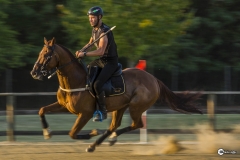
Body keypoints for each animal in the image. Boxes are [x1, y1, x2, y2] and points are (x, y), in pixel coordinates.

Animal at [30, 37, 202, 152]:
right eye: (40, 52)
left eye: (46, 54)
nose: (34, 72)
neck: (76, 81)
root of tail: (154, 79)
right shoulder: (64, 106)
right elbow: (42, 110)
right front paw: (47, 132)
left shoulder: (85, 114)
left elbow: (72, 133)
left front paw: (92, 132)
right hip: (121, 107)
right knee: (115, 125)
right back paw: (99, 143)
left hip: (135, 107)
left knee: (136, 124)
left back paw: (106, 140)